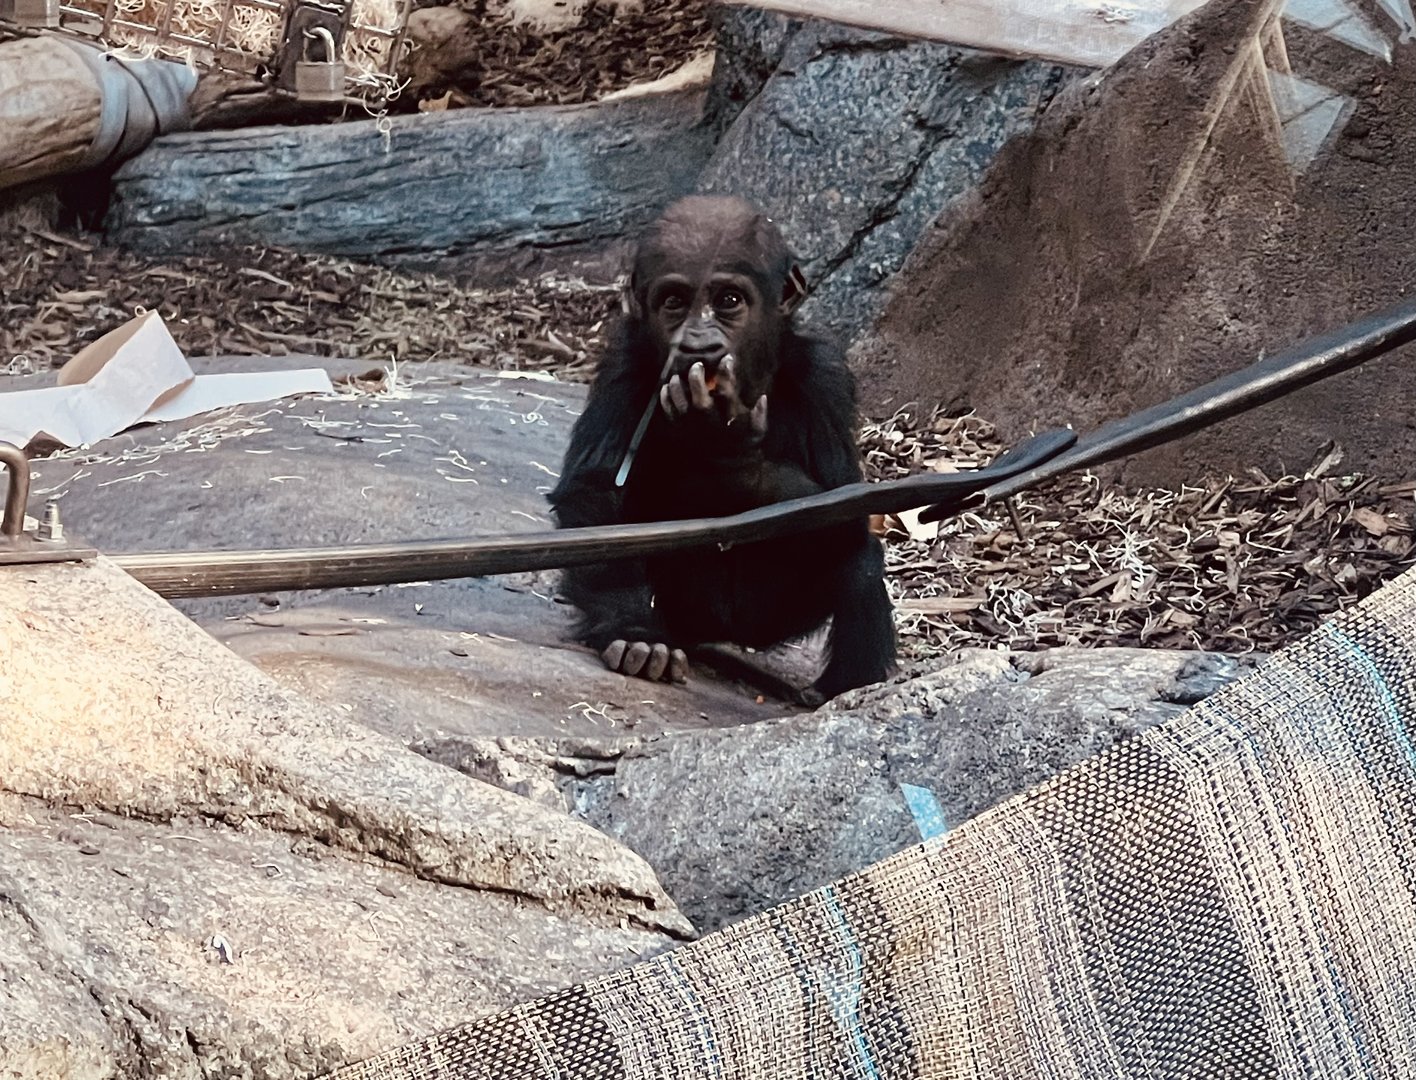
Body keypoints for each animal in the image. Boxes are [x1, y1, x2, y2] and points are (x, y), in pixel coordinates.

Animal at [547, 195, 896, 703]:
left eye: (728, 300)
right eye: (674, 302)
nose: (698, 343)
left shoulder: (826, 376)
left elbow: (843, 502)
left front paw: (728, 449)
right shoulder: (622, 365)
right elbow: (594, 495)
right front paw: (634, 633)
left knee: (858, 557)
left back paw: (844, 688)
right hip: (685, 612)